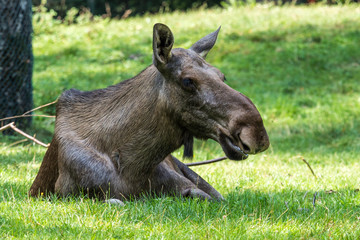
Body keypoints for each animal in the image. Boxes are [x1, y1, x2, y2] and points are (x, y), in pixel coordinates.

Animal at [29, 22, 268, 203]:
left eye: (222, 76)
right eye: (188, 81)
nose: (256, 132)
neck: (134, 165)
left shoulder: (193, 187)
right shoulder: (68, 194)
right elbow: (115, 201)